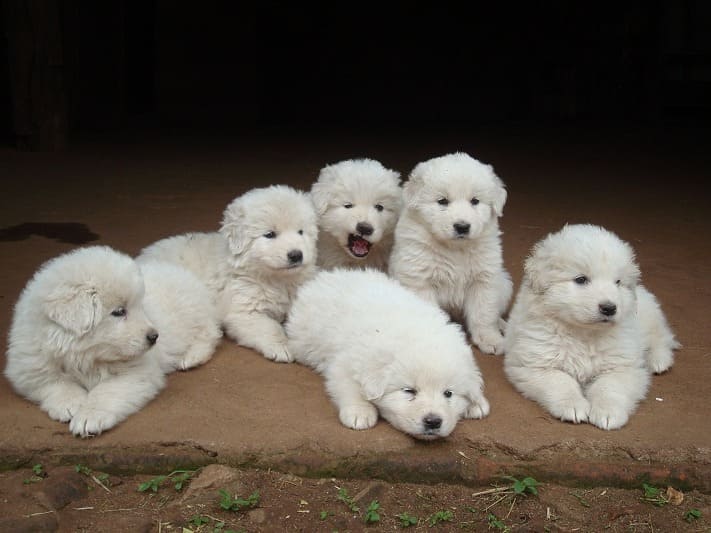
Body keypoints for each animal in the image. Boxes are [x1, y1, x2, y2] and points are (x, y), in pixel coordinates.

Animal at [5, 246, 165, 436]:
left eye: (141, 306)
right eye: (119, 312)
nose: (154, 336)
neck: (83, 355)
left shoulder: (138, 372)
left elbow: (106, 391)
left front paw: (89, 417)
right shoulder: (29, 368)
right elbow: (55, 381)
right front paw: (71, 405)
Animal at [138, 184, 318, 362]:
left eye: (300, 232)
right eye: (270, 234)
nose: (296, 255)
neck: (276, 279)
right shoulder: (243, 311)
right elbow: (269, 327)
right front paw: (282, 347)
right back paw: (191, 356)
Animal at [284, 268, 490, 438]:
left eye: (448, 393)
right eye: (409, 391)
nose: (433, 421)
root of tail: (326, 276)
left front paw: (477, 402)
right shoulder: (344, 363)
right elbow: (348, 386)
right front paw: (360, 412)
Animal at [390, 152, 512, 356]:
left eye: (475, 201)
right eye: (442, 201)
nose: (462, 226)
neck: (455, 249)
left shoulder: (484, 280)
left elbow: (483, 314)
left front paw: (490, 339)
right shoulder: (420, 281)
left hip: (504, 284)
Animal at [506, 223, 680, 428]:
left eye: (618, 282)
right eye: (581, 279)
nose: (609, 308)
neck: (584, 334)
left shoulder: (622, 366)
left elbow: (609, 387)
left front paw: (608, 413)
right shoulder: (534, 365)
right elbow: (561, 381)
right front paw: (573, 406)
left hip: (650, 316)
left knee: (662, 338)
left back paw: (658, 361)